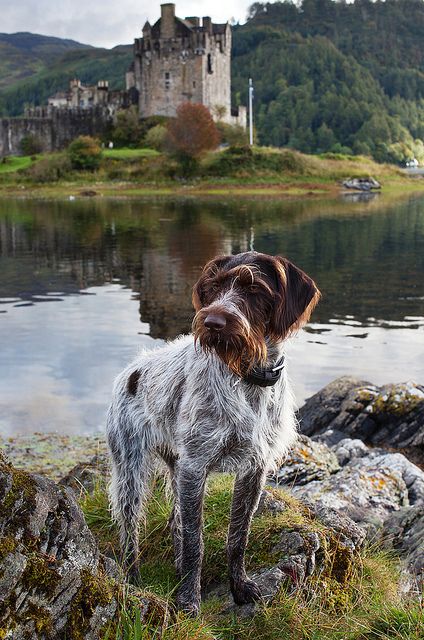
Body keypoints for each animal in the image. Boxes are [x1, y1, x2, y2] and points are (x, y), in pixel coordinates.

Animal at [106, 251, 318, 616]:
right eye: (214, 287)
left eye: (254, 288)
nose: (212, 322)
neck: (248, 378)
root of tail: (130, 371)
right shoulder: (196, 466)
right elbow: (196, 541)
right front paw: (189, 600)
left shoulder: (253, 469)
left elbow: (237, 538)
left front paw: (240, 587)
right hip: (131, 472)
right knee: (130, 529)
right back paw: (133, 578)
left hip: (176, 467)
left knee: (176, 520)